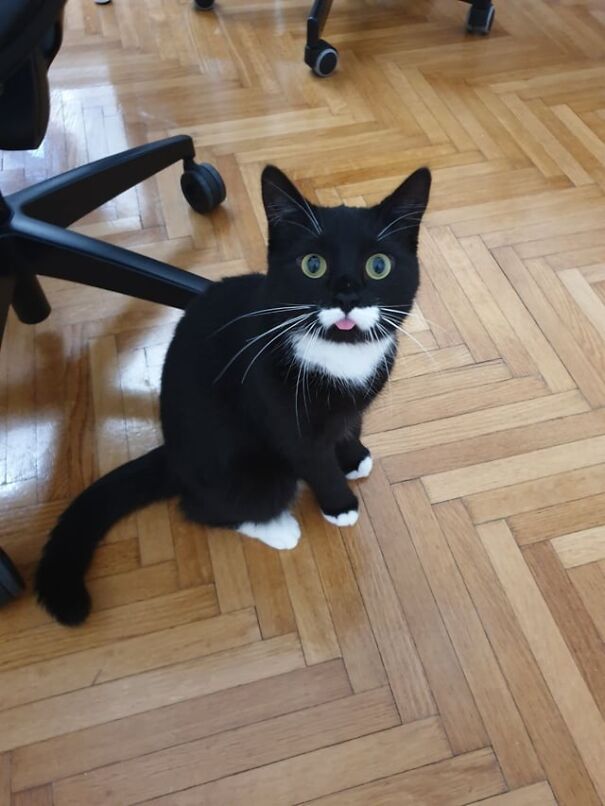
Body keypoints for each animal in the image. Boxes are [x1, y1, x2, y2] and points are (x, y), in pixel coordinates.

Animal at [35, 164, 430, 628]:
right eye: (313, 265)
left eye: (379, 265)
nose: (347, 296)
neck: (340, 357)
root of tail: (172, 456)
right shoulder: (286, 420)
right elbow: (316, 461)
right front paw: (340, 504)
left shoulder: (354, 403)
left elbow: (351, 424)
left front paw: (353, 457)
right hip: (250, 472)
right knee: (203, 507)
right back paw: (277, 527)